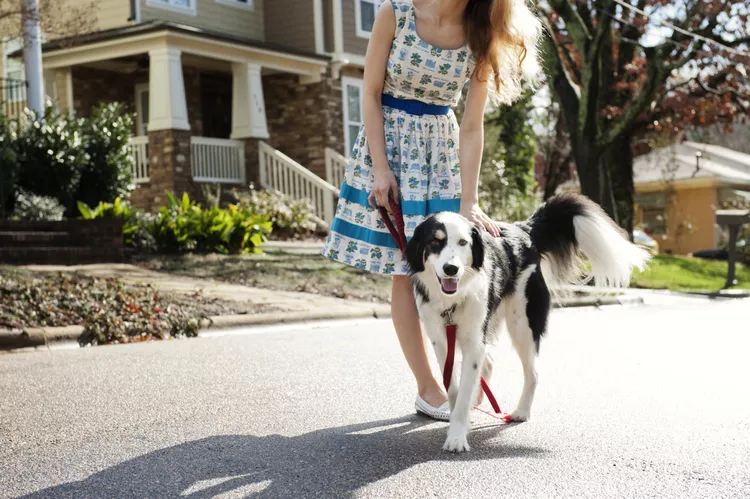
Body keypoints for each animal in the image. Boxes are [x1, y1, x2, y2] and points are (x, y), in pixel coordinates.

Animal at [406, 192, 652, 454]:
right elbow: (453, 388)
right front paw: (458, 421)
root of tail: (523, 229)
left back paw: (521, 411)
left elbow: (463, 390)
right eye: (435, 242)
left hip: (522, 324)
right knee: (489, 363)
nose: (451, 269)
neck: (453, 299)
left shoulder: (473, 338)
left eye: (463, 243)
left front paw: (457, 436)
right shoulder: (442, 341)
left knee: (533, 372)